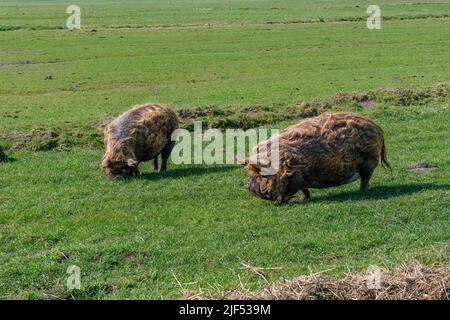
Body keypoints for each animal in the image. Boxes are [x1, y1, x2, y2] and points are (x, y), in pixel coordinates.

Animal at [241, 112, 388, 205]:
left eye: (262, 175)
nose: (246, 183)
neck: (282, 165)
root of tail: (378, 127)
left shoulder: (296, 176)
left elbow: (290, 191)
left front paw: (285, 202)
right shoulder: (300, 178)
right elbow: (304, 190)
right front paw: (303, 199)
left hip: (369, 160)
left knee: (365, 178)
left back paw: (362, 191)